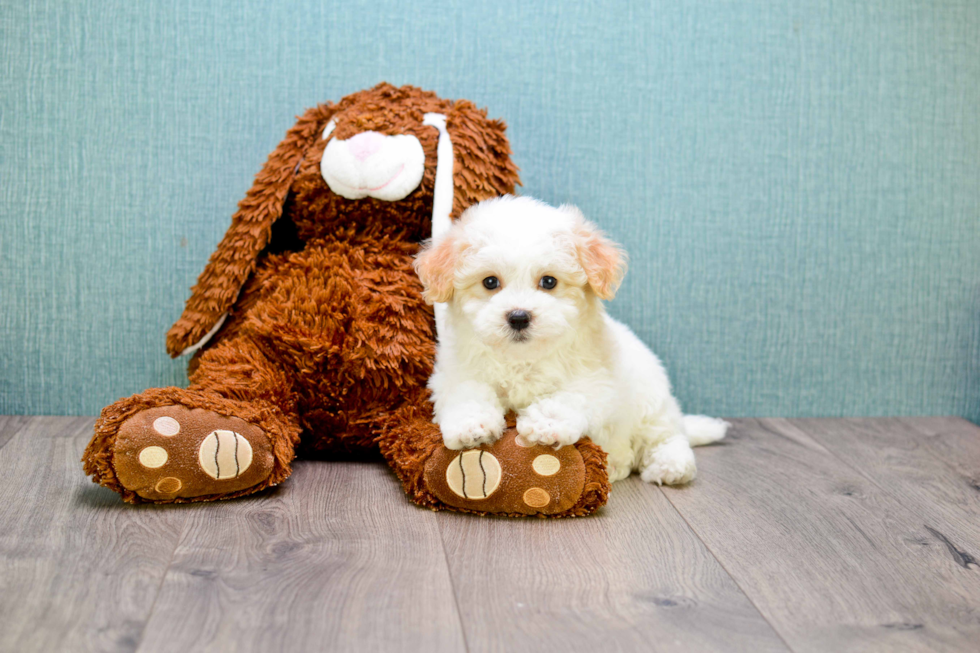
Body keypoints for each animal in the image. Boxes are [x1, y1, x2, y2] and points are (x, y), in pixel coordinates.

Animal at [414, 194, 728, 484]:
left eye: (549, 281)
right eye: (490, 282)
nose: (519, 317)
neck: (523, 359)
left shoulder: (597, 380)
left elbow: (568, 396)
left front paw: (545, 423)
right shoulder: (456, 372)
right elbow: (468, 392)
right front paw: (471, 425)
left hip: (651, 402)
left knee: (665, 436)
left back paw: (670, 465)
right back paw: (617, 464)